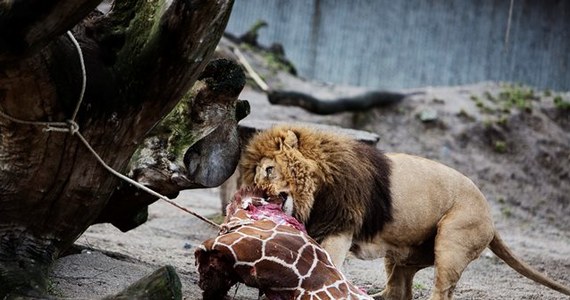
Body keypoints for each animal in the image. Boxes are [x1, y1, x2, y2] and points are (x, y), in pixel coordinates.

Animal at [239, 123, 568, 298]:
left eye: (269, 170)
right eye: (255, 177)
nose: (259, 194)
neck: (316, 188)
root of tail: (490, 214)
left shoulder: (340, 228)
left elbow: (328, 264)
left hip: (452, 242)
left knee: (440, 291)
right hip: (404, 256)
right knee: (398, 291)